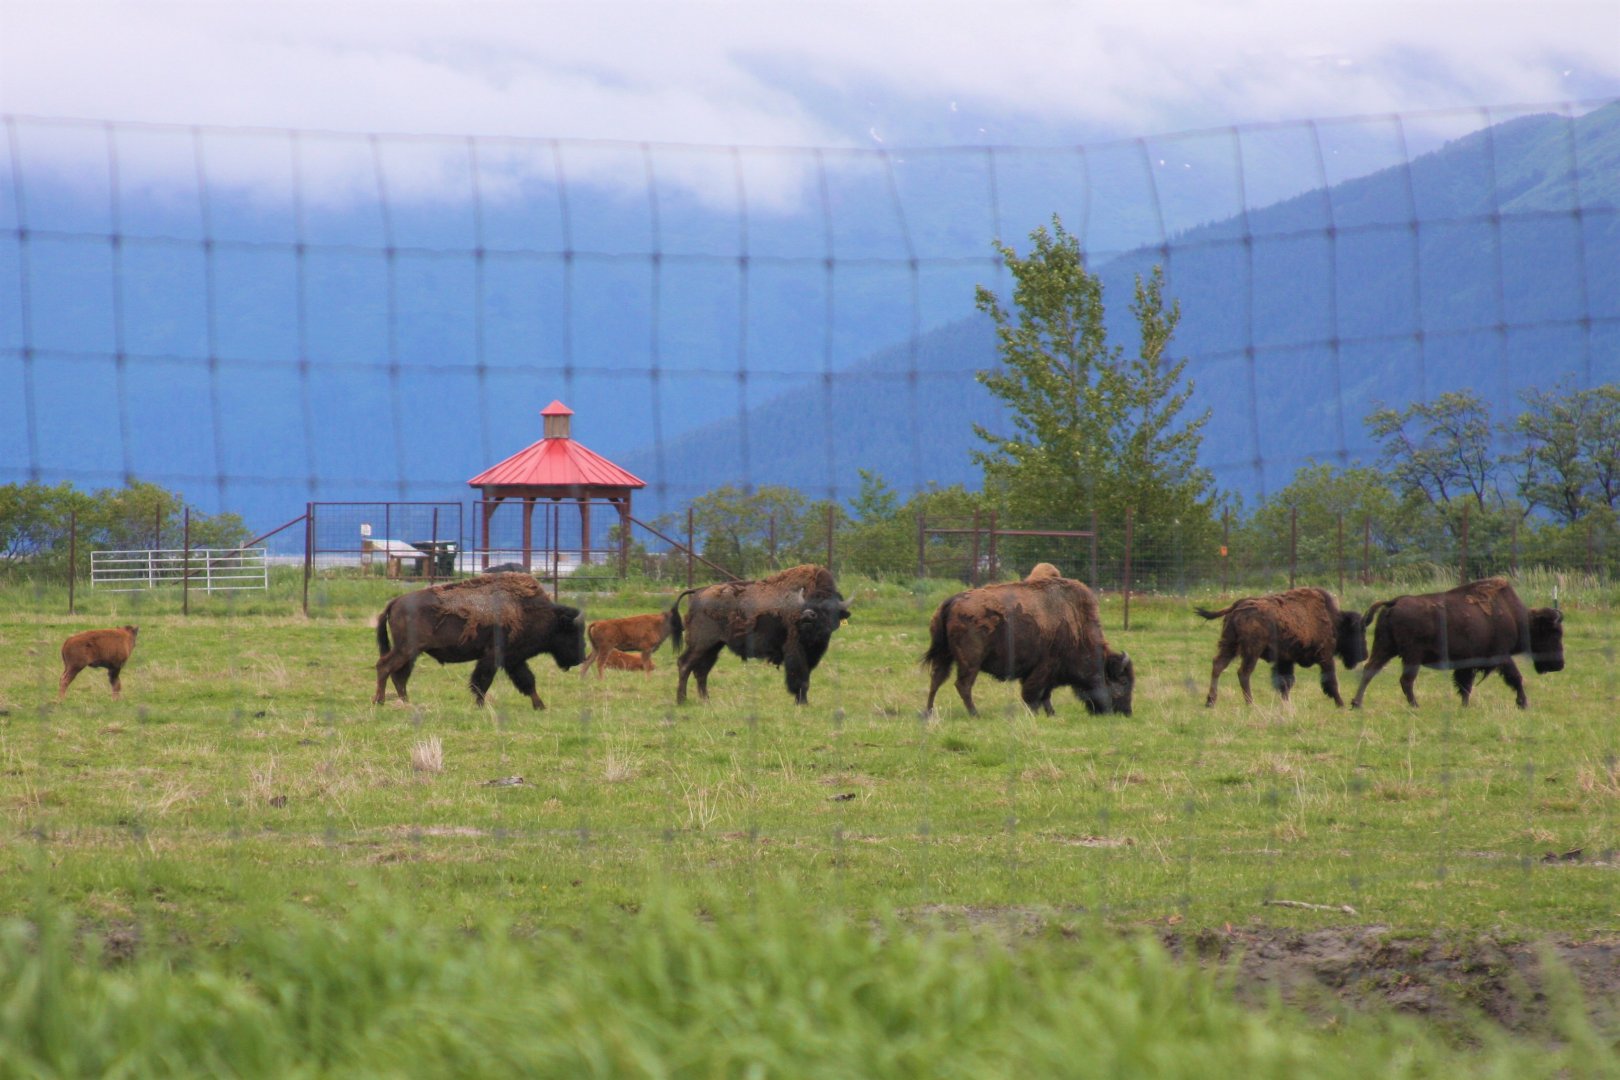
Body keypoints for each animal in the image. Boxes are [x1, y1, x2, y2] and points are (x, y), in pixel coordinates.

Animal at [373, 573, 585, 708]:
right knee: (385, 667)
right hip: (406, 649)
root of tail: (395, 602)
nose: (581, 657)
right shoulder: (494, 656)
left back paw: (406, 702)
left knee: (399, 676)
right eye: (572, 632)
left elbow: (528, 681)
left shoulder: (513, 660)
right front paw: (480, 705)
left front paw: (540, 705)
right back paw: (379, 701)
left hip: (411, 652)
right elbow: (482, 682)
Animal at [672, 564, 850, 705]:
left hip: (714, 647)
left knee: (701, 671)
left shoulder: (811, 655)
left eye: (828, 607)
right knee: (685, 664)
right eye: (807, 601)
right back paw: (682, 701)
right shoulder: (795, 650)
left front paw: (802, 702)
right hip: (701, 644)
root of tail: (698, 592)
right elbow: (800, 678)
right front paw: (802, 703)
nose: (808, 615)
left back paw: (706, 701)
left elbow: (806, 678)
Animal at [923, 565, 1134, 717]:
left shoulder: (1046, 673)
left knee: (936, 680)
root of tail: (952, 601)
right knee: (963, 685)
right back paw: (975, 714)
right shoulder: (1044, 668)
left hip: (945, 656)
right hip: (971, 661)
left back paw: (929, 713)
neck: (1078, 627)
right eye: (1123, 681)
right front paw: (1035, 713)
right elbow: (1034, 693)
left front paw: (1051, 713)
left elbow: (1045, 694)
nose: (1126, 712)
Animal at [1196, 587, 1366, 707]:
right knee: (1243, 672)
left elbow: (1285, 682)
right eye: (1356, 631)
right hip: (1252, 651)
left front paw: (1286, 704)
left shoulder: (1285, 660)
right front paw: (1341, 704)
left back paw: (1210, 702)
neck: (1332, 619)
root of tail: (1239, 604)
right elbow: (1331, 681)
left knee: (1218, 665)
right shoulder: (1325, 656)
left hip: (1230, 645)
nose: (1364, 654)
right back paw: (1251, 703)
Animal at [1350, 577, 1564, 709]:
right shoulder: (1502, 656)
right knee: (1406, 680)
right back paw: (1415, 706)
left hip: (1385, 648)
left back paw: (1356, 703)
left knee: (1370, 670)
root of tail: (1394, 602)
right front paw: (1523, 704)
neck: (1515, 617)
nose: (1559, 665)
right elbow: (1516, 678)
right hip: (1411, 656)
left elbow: (1465, 685)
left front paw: (1465, 705)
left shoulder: (1468, 663)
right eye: (1554, 633)